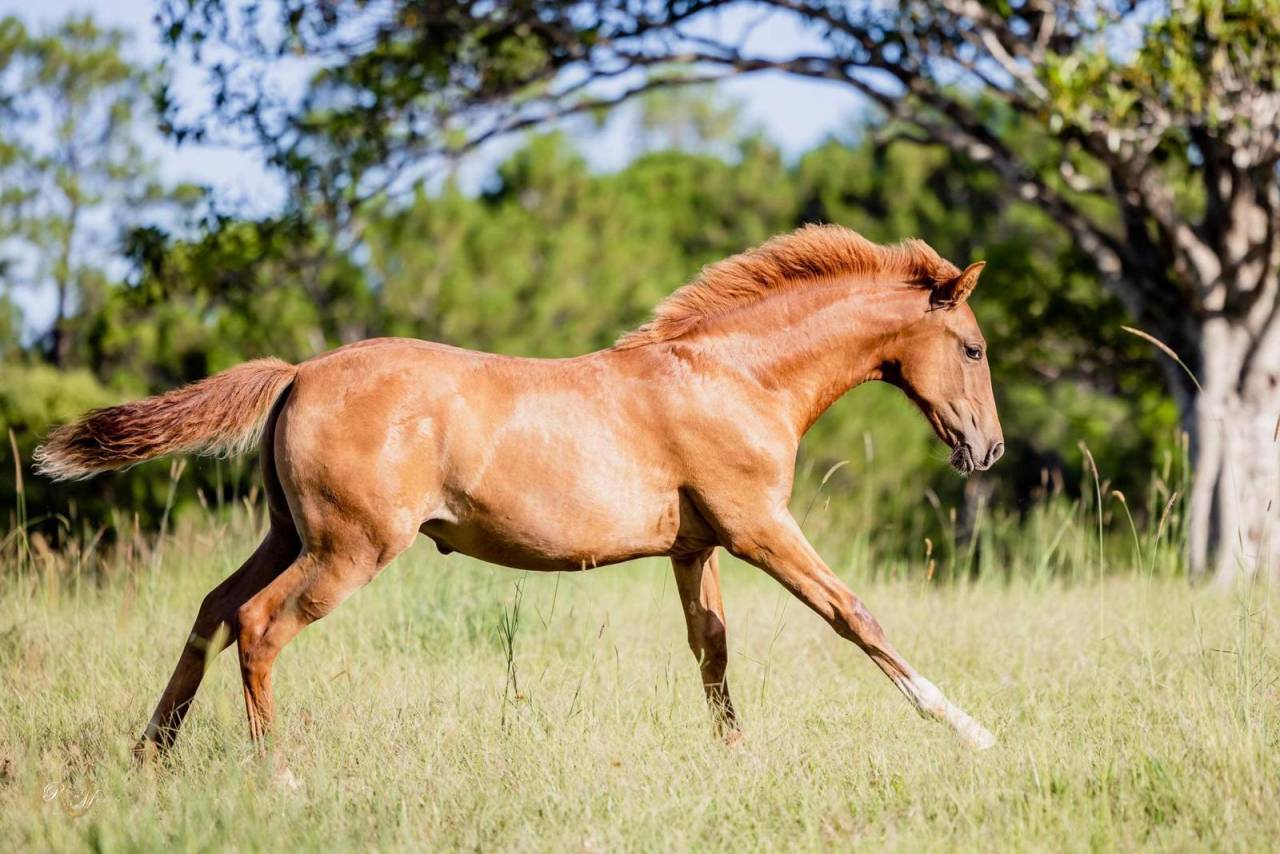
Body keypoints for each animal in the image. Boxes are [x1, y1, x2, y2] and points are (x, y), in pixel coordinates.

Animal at [35, 224, 1005, 755]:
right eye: (973, 347)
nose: (987, 450)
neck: (734, 376)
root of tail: (300, 372)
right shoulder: (761, 526)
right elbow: (856, 616)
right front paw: (969, 729)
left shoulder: (697, 546)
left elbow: (713, 651)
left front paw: (738, 756)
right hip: (350, 548)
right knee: (258, 626)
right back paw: (278, 772)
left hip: (288, 534)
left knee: (210, 611)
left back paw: (151, 754)